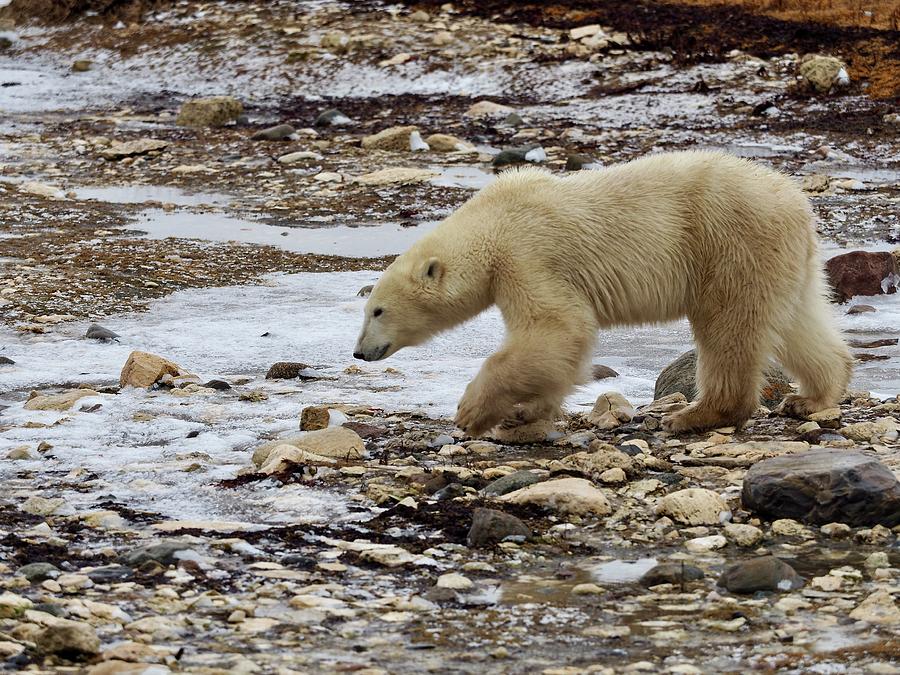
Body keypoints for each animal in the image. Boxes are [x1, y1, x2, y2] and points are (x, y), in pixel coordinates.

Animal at [352, 151, 852, 436]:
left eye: (377, 310)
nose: (358, 351)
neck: (493, 222)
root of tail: (795, 201)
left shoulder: (527, 256)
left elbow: (556, 328)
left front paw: (473, 411)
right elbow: (558, 347)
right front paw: (525, 413)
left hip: (729, 242)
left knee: (728, 325)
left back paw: (696, 415)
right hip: (787, 258)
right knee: (800, 321)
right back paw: (812, 396)